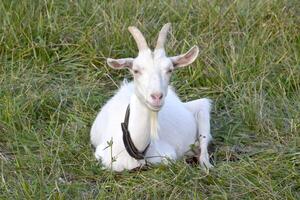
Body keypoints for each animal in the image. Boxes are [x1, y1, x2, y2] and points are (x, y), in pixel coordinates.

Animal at [90, 22, 212, 171]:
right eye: (136, 70)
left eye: (170, 70)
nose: (157, 96)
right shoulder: (101, 154)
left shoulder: (167, 155)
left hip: (203, 107)